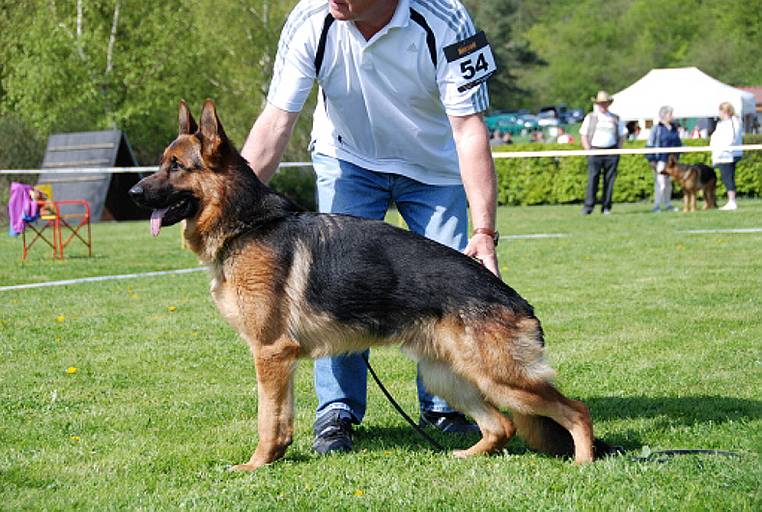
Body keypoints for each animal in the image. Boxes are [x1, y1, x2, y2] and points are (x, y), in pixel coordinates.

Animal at [131, 100, 600, 472]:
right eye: (162, 163)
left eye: (176, 166)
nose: (133, 192)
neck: (248, 224)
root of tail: (517, 300)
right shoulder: (277, 358)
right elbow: (279, 418)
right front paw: (272, 459)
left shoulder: (270, 354)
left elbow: (269, 419)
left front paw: (257, 464)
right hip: (446, 375)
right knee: (501, 425)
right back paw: (466, 456)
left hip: (499, 377)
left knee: (575, 411)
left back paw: (583, 463)